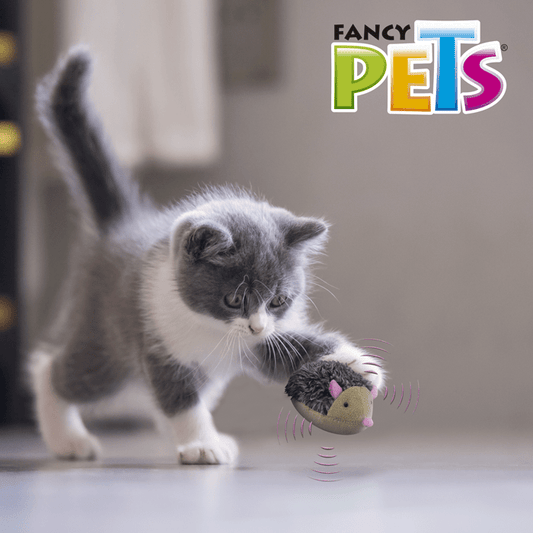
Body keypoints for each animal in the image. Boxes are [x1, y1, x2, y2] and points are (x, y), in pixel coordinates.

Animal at [29, 47, 385, 465]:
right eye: (233, 299)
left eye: (278, 300)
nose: (256, 327)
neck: (213, 330)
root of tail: (122, 225)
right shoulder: (159, 342)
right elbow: (181, 397)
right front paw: (202, 443)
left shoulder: (264, 344)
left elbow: (297, 348)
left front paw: (359, 363)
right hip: (107, 342)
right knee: (55, 370)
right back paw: (67, 438)